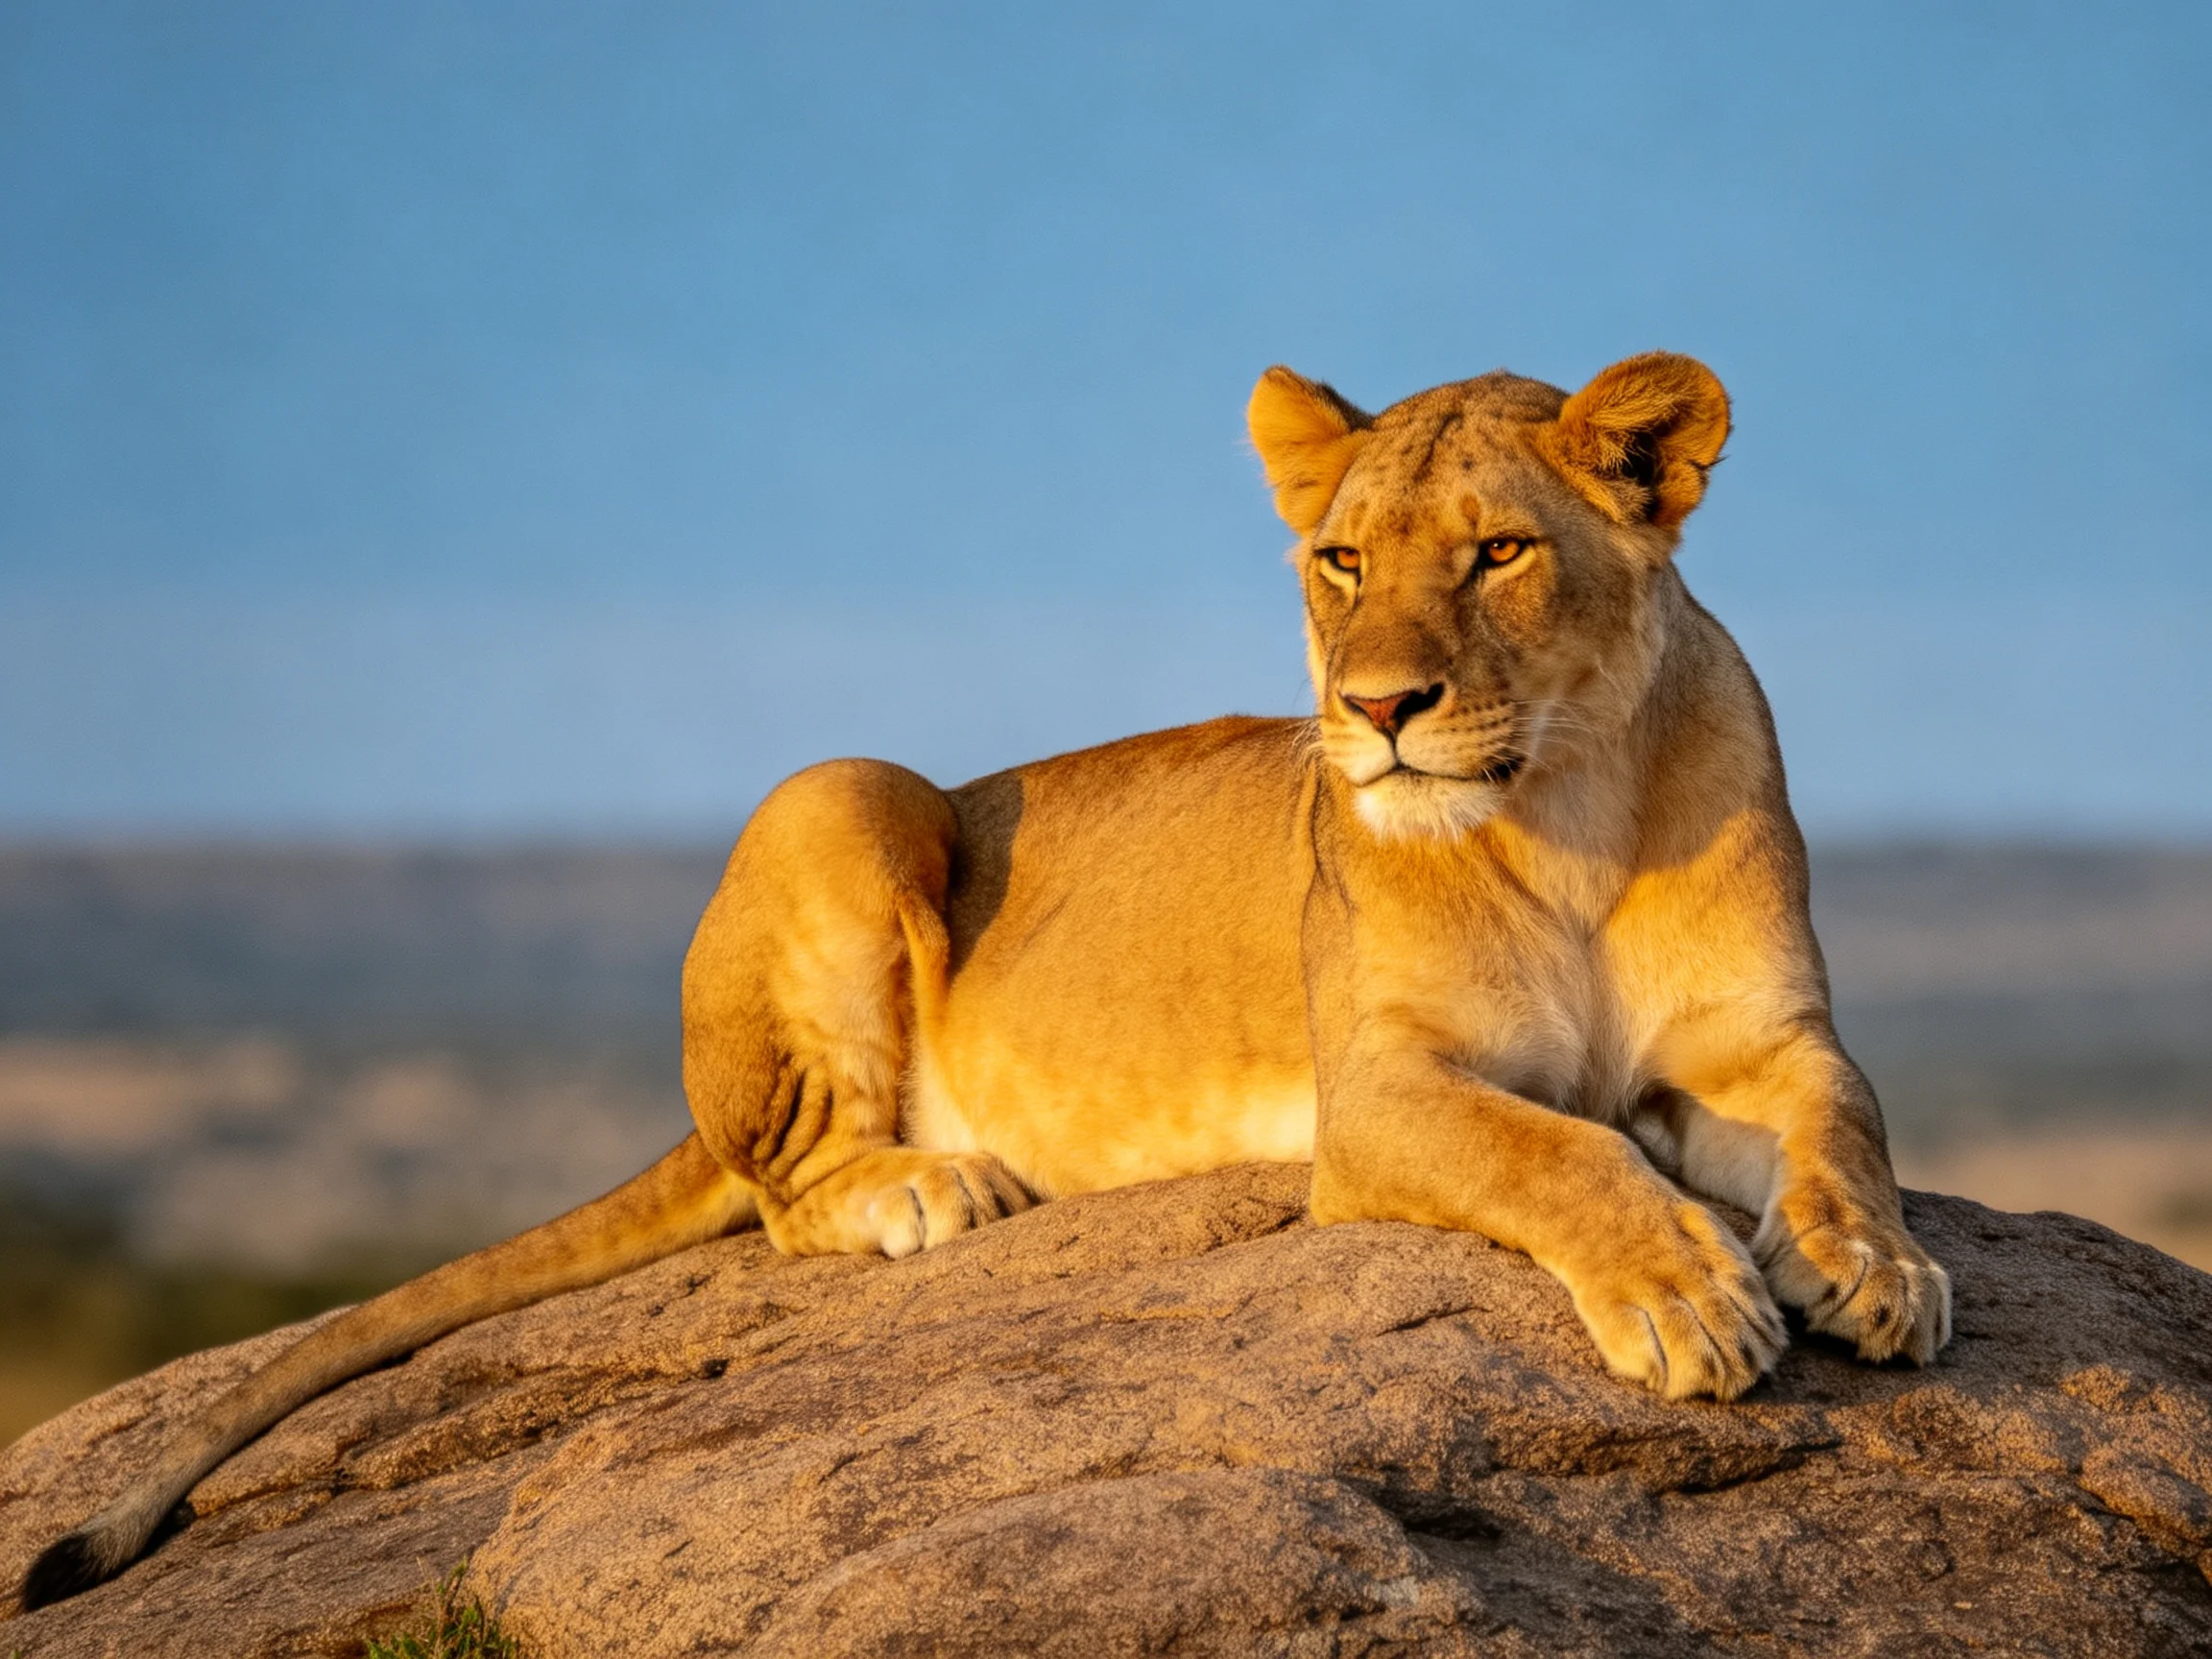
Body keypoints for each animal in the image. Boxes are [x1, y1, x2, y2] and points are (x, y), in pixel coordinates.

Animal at [21, 351, 1950, 1609]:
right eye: (1339, 561)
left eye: (1498, 551)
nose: (1376, 710)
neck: (1569, 805)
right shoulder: (1378, 1095)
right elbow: (1560, 1150)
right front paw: (1691, 1297)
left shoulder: (1762, 1043)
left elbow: (1846, 1126)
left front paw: (1876, 1270)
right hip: (844, 790)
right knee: (781, 1185)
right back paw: (930, 1186)